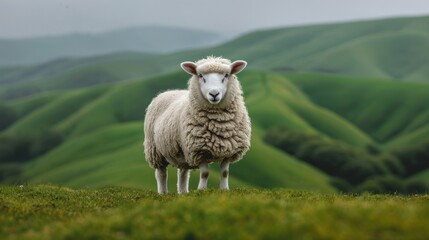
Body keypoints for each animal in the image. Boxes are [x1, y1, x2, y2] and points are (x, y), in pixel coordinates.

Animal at [144, 55, 251, 193]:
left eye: (226, 75)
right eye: (200, 76)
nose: (214, 94)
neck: (218, 124)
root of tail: (167, 92)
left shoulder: (229, 150)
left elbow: (224, 173)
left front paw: (224, 190)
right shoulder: (199, 150)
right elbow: (205, 173)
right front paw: (201, 190)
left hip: (183, 152)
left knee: (183, 173)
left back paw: (183, 193)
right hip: (155, 150)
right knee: (161, 173)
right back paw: (163, 192)